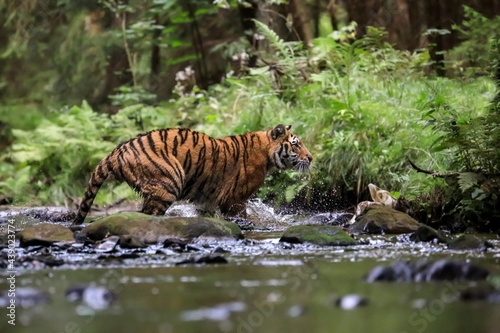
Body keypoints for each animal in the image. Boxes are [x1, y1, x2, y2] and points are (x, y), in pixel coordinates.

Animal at [72, 123, 310, 224]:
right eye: (296, 144)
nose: (311, 158)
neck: (266, 152)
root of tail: (117, 151)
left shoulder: (207, 200)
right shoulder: (235, 199)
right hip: (168, 182)